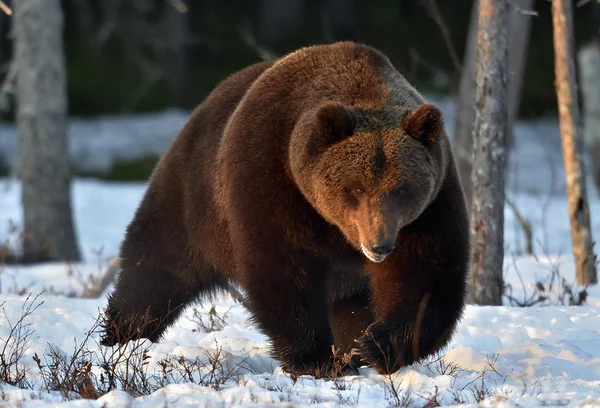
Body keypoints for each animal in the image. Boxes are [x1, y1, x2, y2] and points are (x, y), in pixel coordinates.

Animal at [102, 41, 468, 376]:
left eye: (402, 189)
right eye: (356, 188)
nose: (379, 245)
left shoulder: (431, 208)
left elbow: (425, 276)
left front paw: (376, 346)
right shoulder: (270, 178)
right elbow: (282, 270)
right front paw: (315, 360)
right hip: (194, 195)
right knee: (155, 270)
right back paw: (120, 338)